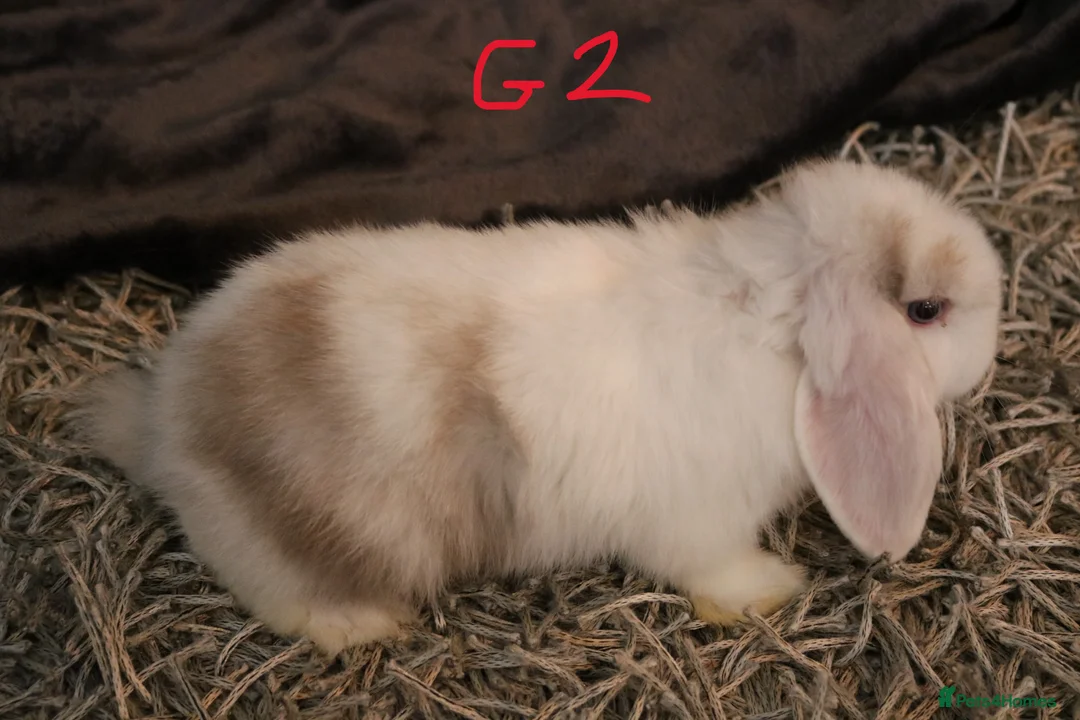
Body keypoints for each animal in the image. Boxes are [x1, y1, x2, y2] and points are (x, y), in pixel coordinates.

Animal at [74, 159, 1003, 654]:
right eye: (926, 310)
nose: (997, 331)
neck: (766, 322)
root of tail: (167, 419)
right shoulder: (698, 526)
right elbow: (712, 571)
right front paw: (774, 588)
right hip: (291, 551)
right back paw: (368, 624)